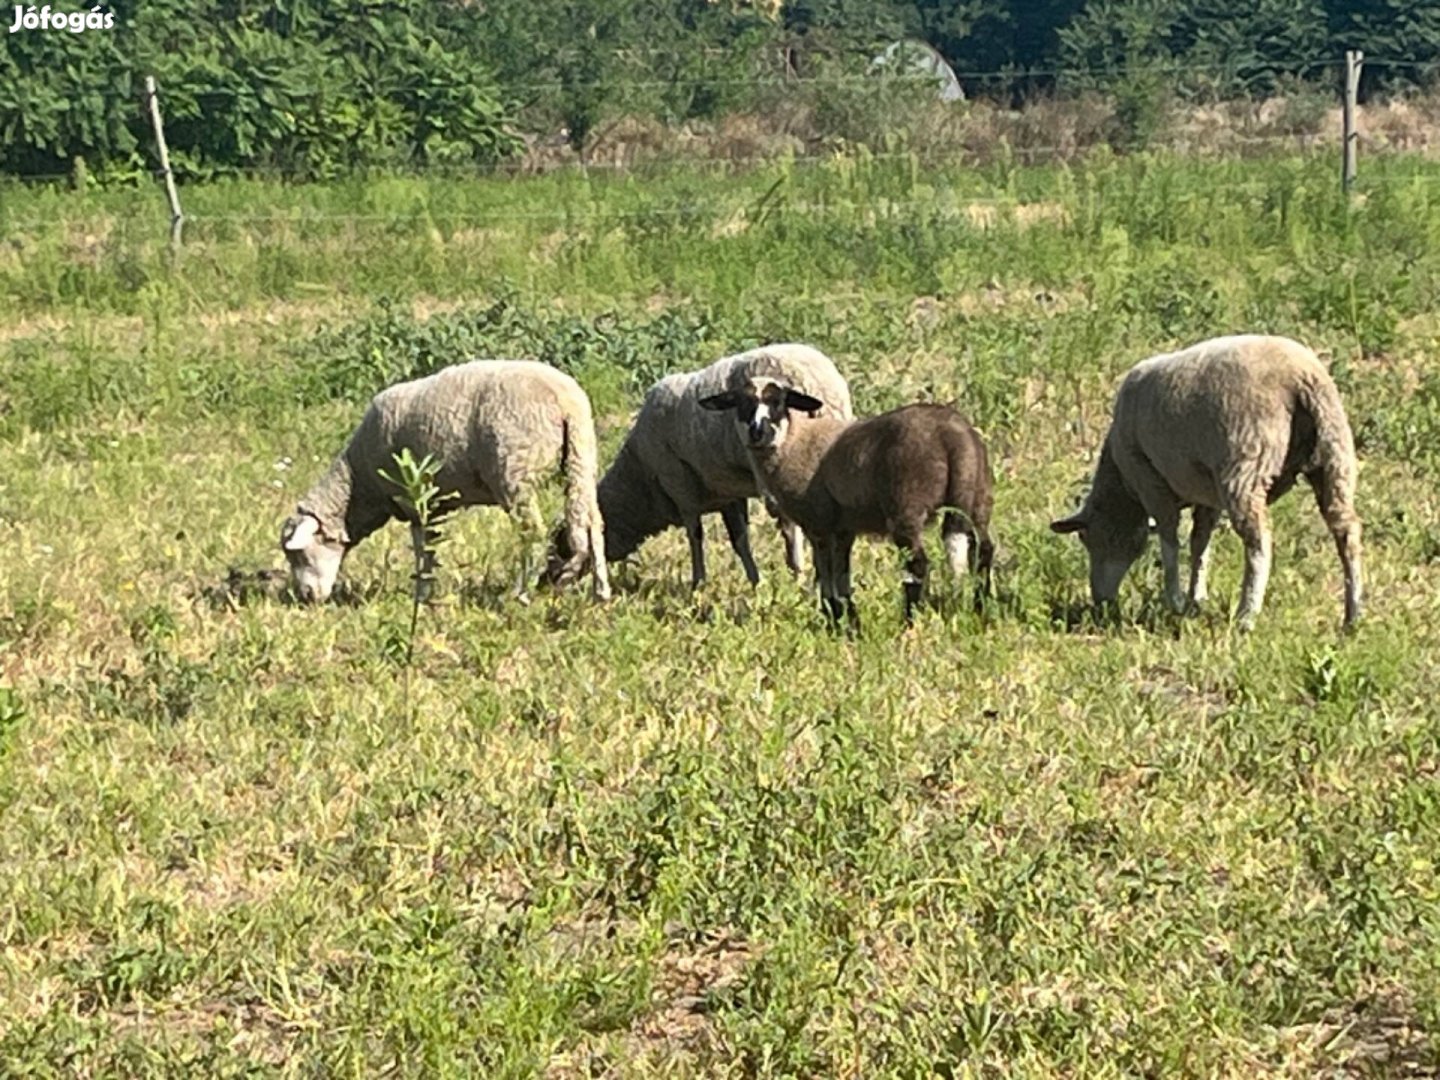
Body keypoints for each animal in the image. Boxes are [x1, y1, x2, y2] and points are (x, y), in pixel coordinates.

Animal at [280, 360, 607, 604]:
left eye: (298, 554)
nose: (306, 597)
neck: (360, 485)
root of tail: (565, 400)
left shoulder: (414, 503)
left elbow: (422, 551)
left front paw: (421, 595)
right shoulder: (433, 504)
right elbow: (432, 548)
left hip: (516, 472)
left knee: (533, 533)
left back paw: (520, 593)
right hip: (581, 459)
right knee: (593, 524)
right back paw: (600, 592)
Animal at [544, 342, 846, 587]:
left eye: (561, 547)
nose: (546, 585)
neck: (641, 480)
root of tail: (818, 384)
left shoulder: (680, 488)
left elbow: (695, 536)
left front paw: (698, 583)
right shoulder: (728, 494)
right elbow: (740, 541)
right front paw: (754, 582)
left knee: (790, 525)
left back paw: (800, 576)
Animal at [696, 377, 990, 624]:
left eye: (778, 402)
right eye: (741, 403)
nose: (757, 432)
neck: (793, 442)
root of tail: (951, 433)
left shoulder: (818, 522)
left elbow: (825, 572)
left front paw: (833, 617)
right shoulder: (844, 527)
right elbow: (842, 574)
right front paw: (848, 618)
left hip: (906, 507)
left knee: (918, 564)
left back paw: (910, 619)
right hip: (975, 496)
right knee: (982, 550)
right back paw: (981, 607)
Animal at [1048, 334, 1359, 630]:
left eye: (1087, 538)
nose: (1101, 601)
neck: (1123, 485)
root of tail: (1299, 376)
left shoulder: (1150, 482)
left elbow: (1170, 539)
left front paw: (1174, 598)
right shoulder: (1208, 492)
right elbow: (1200, 542)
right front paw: (1194, 599)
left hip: (1245, 462)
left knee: (1259, 541)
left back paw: (1247, 616)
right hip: (1334, 453)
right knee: (1347, 530)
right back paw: (1352, 617)